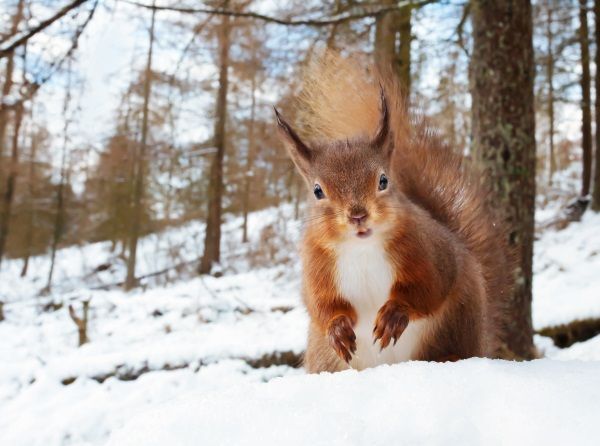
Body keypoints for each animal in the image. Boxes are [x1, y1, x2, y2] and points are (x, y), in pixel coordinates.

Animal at [274, 53, 512, 372]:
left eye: (383, 180)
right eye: (317, 191)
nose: (358, 216)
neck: (361, 248)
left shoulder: (429, 252)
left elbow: (428, 289)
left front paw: (394, 315)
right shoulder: (316, 265)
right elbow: (320, 304)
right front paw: (337, 329)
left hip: (460, 319)